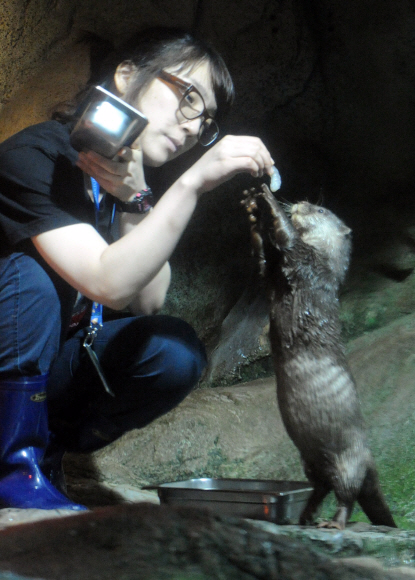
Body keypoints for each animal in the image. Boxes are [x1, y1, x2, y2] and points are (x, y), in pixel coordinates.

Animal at [244, 184, 396, 528]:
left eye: (321, 210)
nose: (301, 203)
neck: (326, 267)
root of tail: (369, 458)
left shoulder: (309, 264)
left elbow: (288, 240)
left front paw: (269, 201)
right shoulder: (274, 276)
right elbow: (262, 264)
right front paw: (254, 217)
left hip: (349, 461)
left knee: (347, 493)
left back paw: (333, 522)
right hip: (311, 462)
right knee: (321, 487)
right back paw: (305, 516)